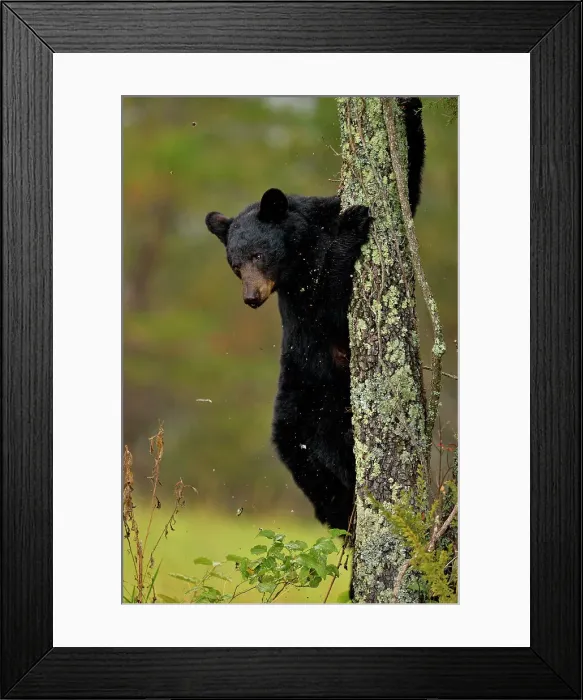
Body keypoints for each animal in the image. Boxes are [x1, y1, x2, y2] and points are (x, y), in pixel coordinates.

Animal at [205, 98, 425, 530]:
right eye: (235, 265)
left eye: (257, 255)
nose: (251, 297)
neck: (303, 245)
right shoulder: (302, 293)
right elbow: (330, 296)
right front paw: (355, 220)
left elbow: (407, 183)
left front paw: (410, 109)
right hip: (309, 409)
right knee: (320, 463)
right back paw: (343, 511)